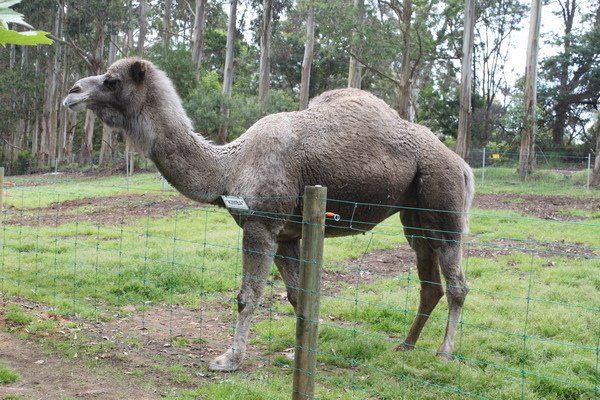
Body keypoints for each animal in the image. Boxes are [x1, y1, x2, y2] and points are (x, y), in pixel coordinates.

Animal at [61, 57, 474, 372]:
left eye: (111, 80)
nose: (73, 91)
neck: (228, 167)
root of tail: (462, 164)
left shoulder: (261, 224)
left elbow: (248, 295)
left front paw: (228, 360)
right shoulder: (287, 234)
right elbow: (297, 295)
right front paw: (299, 354)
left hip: (443, 197)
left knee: (456, 283)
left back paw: (444, 353)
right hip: (414, 216)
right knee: (429, 282)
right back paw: (405, 345)